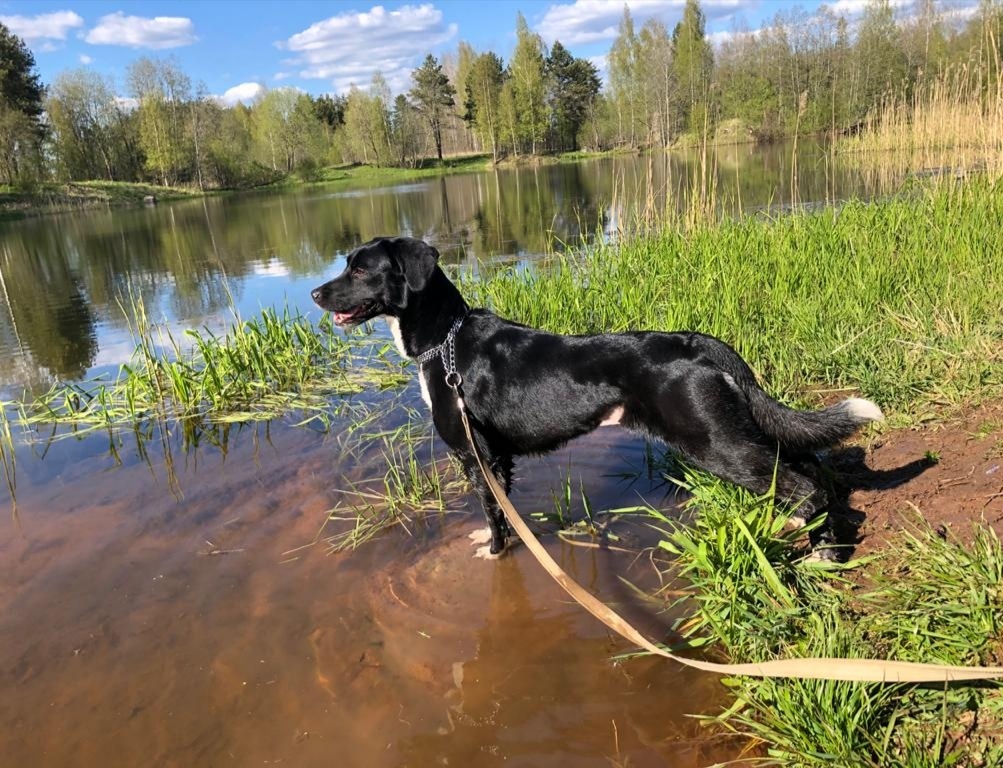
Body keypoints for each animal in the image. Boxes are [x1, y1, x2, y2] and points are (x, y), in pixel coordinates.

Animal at [310, 237, 878, 557]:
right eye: (347, 264)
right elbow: (505, 512)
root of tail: (697, 343)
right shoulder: (498, 460)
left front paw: (493, 552)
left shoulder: (478, 457)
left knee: (804, 485)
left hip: (717, 444)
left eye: (361, 269)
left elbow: (493, 516)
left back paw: (816, 547)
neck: (446, 341)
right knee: (810, 468)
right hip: (735, 432)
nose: (315, 293)